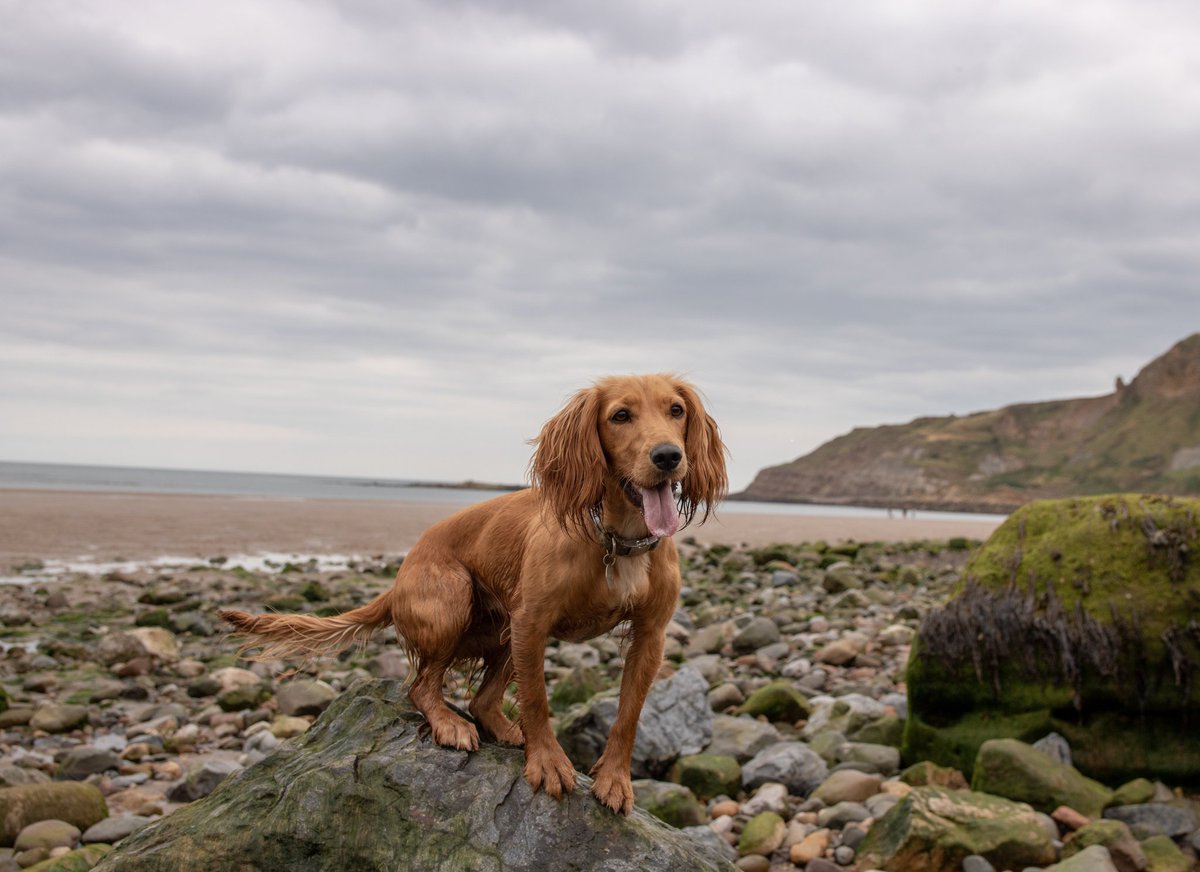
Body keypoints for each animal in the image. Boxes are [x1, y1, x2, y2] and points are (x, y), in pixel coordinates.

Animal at [220, 374, 724, 820]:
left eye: (675, 410)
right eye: (620, 415)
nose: (668, 456)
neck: (619, 539)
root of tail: (398, 578)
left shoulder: (650, 635)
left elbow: (628, 715)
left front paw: (615, 779)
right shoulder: (532, 621)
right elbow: (538, 700)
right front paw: (548, 762)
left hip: (503, 631)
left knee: (482, 700)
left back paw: (500, 727)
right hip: (456, 601)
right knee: (421, 687)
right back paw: (450, 724)